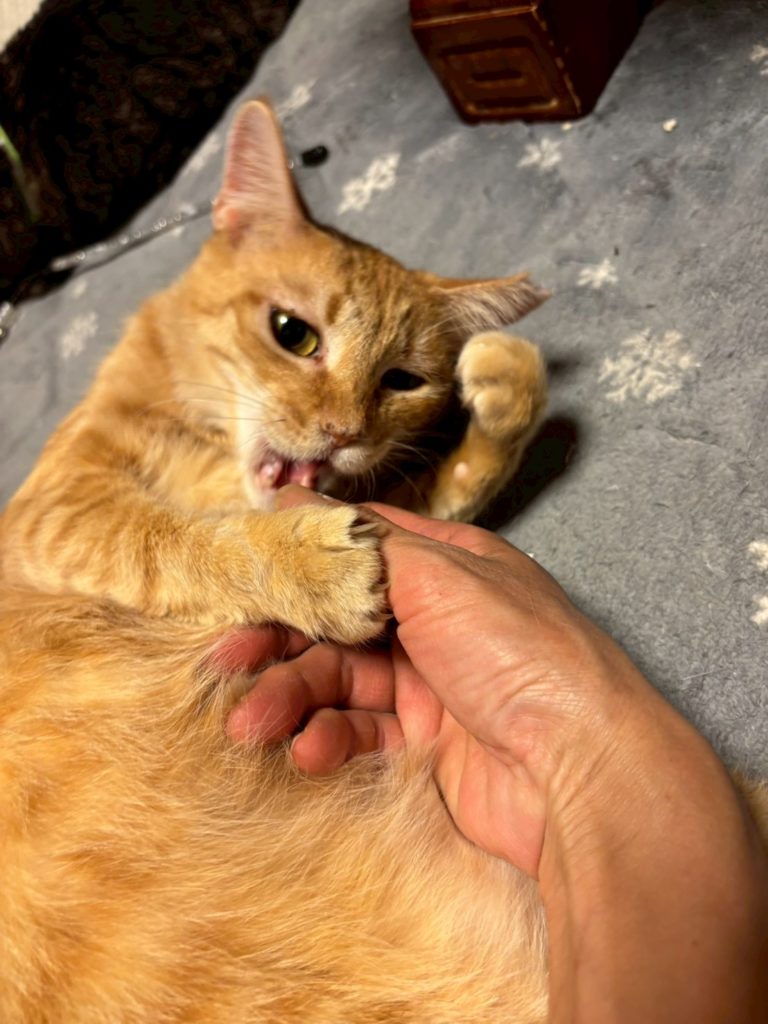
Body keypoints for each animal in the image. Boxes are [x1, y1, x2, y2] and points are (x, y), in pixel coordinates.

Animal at [0, 99, 552, 1022]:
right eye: (294, 335)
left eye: (402, 380)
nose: (342, 433)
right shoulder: (60, 510)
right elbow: (172, 539)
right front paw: (308, 566)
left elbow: (437, 493)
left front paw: (509, 388)